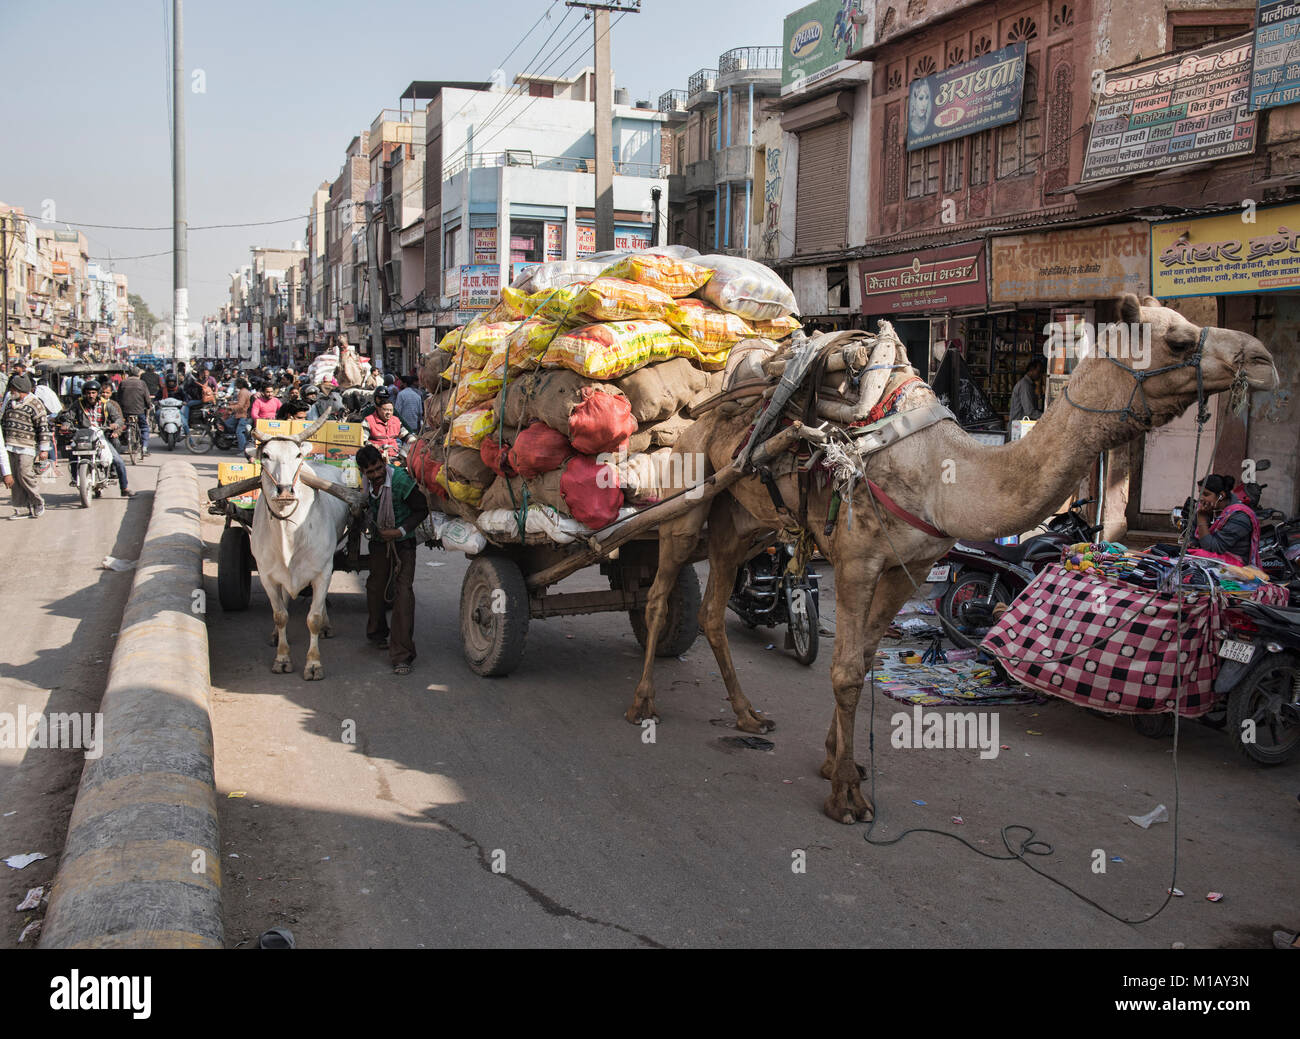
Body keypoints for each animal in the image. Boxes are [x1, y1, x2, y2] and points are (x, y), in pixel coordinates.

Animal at [626, 296, 1279, 827]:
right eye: (1179, 341)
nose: (1263, 359)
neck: (943, 475)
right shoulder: (858, 558)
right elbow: (844, 671)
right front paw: (846, 798)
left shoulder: (907, 569)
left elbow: (864, 660)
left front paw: (840, 766)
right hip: (689, 496)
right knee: (661, 592)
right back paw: (642, 704)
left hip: (743, 521)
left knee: (714, 608)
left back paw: (748, 716)